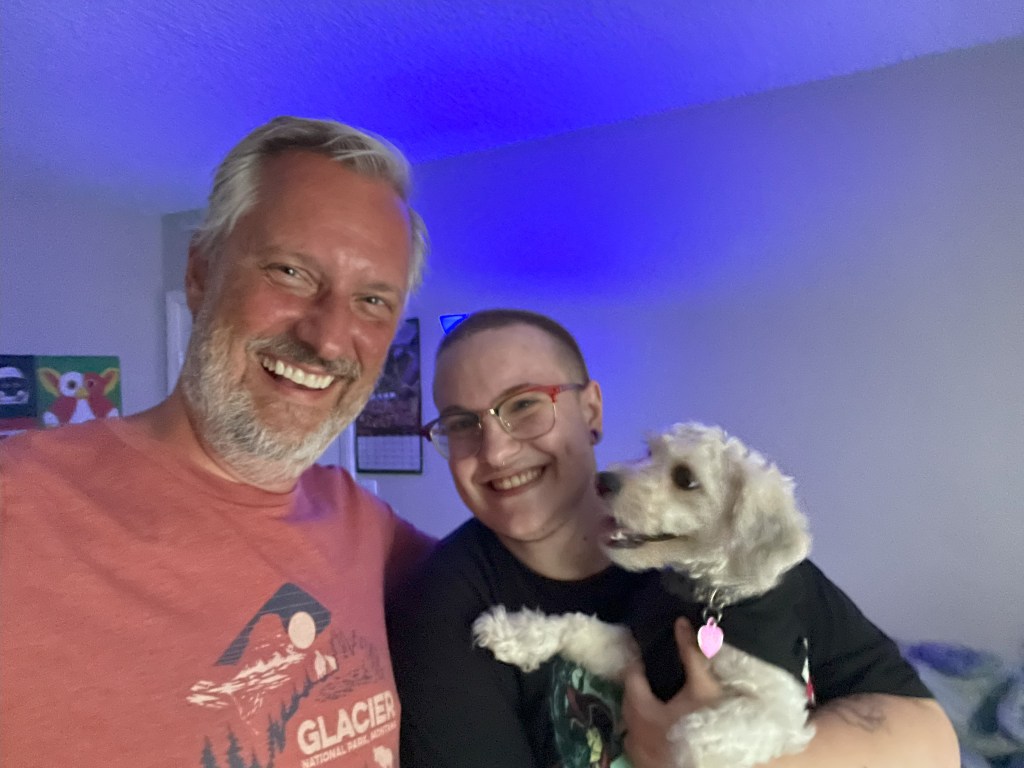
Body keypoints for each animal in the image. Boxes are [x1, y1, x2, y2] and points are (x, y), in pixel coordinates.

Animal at [473, 423, 816, 768]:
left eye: (685, 478)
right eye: (651, 452)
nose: (601, 481)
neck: (705, 600)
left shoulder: (782, 709)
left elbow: (689, 740)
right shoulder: (635, 651)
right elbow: (577, 627)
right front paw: (515, 633)